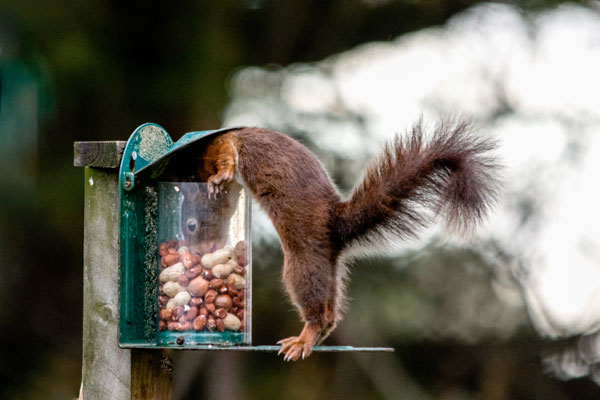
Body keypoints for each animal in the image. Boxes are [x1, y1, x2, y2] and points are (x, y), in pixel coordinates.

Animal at [190, 119, 500, 362]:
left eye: (194, 224)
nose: (201, 245)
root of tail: (336, 225)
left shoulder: (222, 144)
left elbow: (227, 157)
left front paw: (219, 179)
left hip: (302, 261)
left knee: (316, 308)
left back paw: (304, 339)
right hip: (328, 267)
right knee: (330, 313)